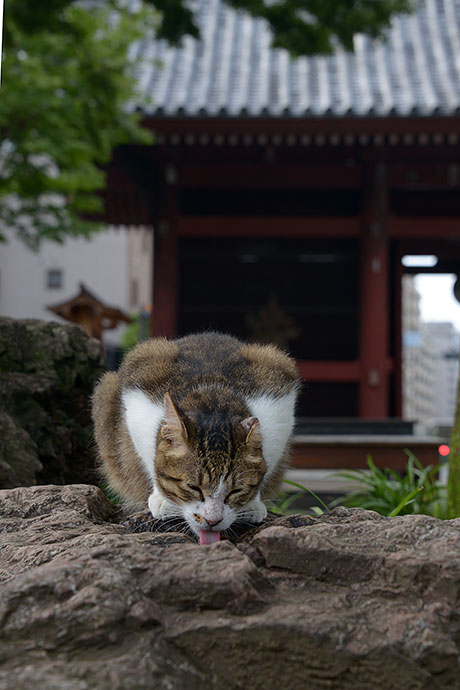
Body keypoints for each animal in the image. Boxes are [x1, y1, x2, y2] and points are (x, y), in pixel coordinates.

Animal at [91, 330, 300, 540]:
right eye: (193, 488)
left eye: (235, 491)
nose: (212, 521)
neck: (213, 398)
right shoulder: (139, 398)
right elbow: (150, 457)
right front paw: (163, 498)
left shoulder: (278, 408)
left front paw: (252, 503)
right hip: (107, 390)